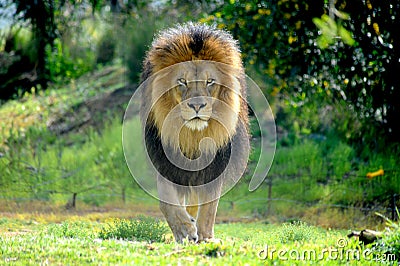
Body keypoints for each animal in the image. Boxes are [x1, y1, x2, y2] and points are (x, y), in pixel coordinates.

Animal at [139, 23, 248, 243]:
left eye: (210, 81)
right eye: (182, 81)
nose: (197, 106)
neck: (192, 136)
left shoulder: (216, 163)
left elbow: (209, 207)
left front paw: (205, 236)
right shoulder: (164, 159)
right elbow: (167, 199)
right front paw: (184, 230)